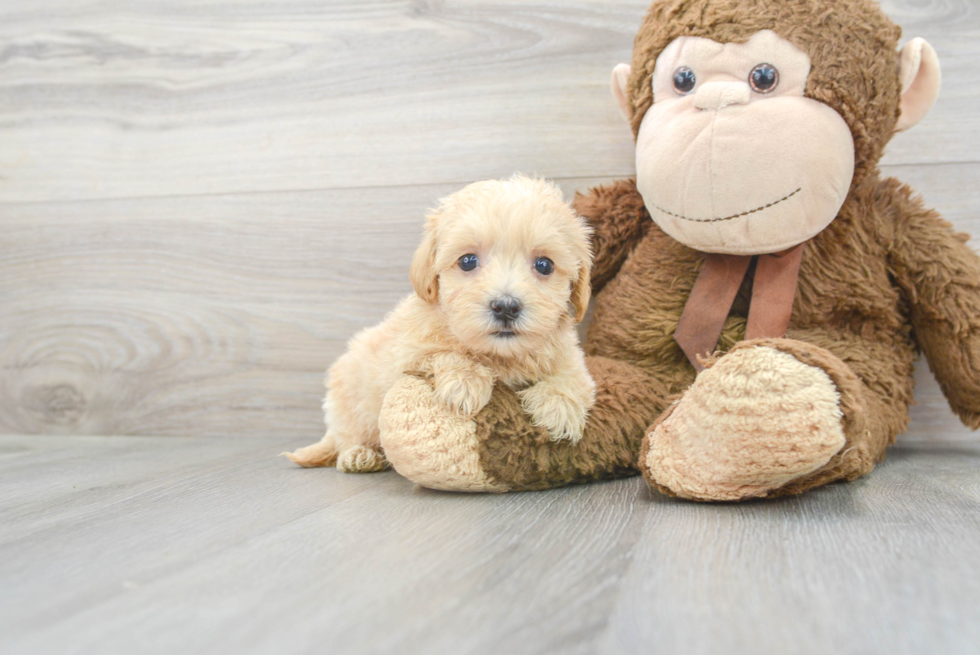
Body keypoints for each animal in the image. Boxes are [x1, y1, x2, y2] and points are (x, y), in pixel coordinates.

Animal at [284, 174, 596, 472]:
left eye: (544, 265)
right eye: (468, 261)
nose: (506, 307)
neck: (500, 356)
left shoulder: (571, 359)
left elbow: (573, 378)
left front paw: (558, 406)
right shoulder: (406, 354)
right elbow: (442, 353)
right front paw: (466, 381)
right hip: (349, 393)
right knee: (347, 435)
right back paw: (359, 454)